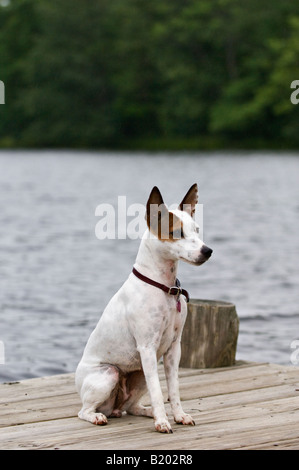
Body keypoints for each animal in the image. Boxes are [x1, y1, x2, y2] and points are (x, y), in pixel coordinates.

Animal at [76, 184, 214, 434]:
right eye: (177, 233)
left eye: (197, 230)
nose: (207, 250)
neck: (164, 287)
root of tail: (114, 408)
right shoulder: (148, 348)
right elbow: (158, 391)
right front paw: (163, 422)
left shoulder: (174, 348)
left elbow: (174, 389)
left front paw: (178, 415)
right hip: (109, 374)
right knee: (84, 411)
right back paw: (98, 416)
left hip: (138, 374)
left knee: (131, 407)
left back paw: (147, 411)